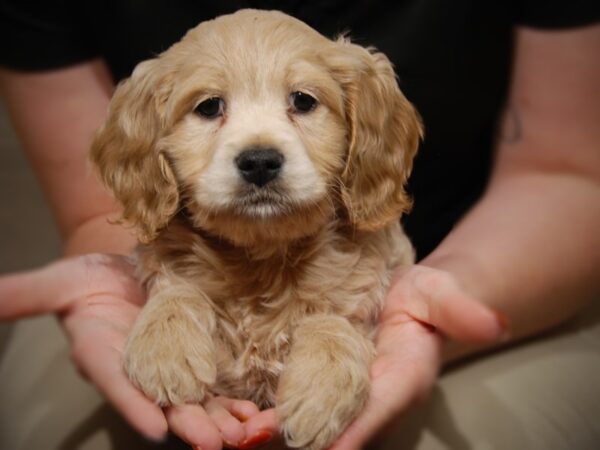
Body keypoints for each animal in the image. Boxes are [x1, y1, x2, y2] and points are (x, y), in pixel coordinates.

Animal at [91, 7, 422, 450]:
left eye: (303, 100)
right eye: (209, 106)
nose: (260, 161)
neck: (262, 257)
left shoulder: (365, 285)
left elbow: (332, 320)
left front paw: (320, 392)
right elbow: (177, 289)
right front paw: (164, 351)